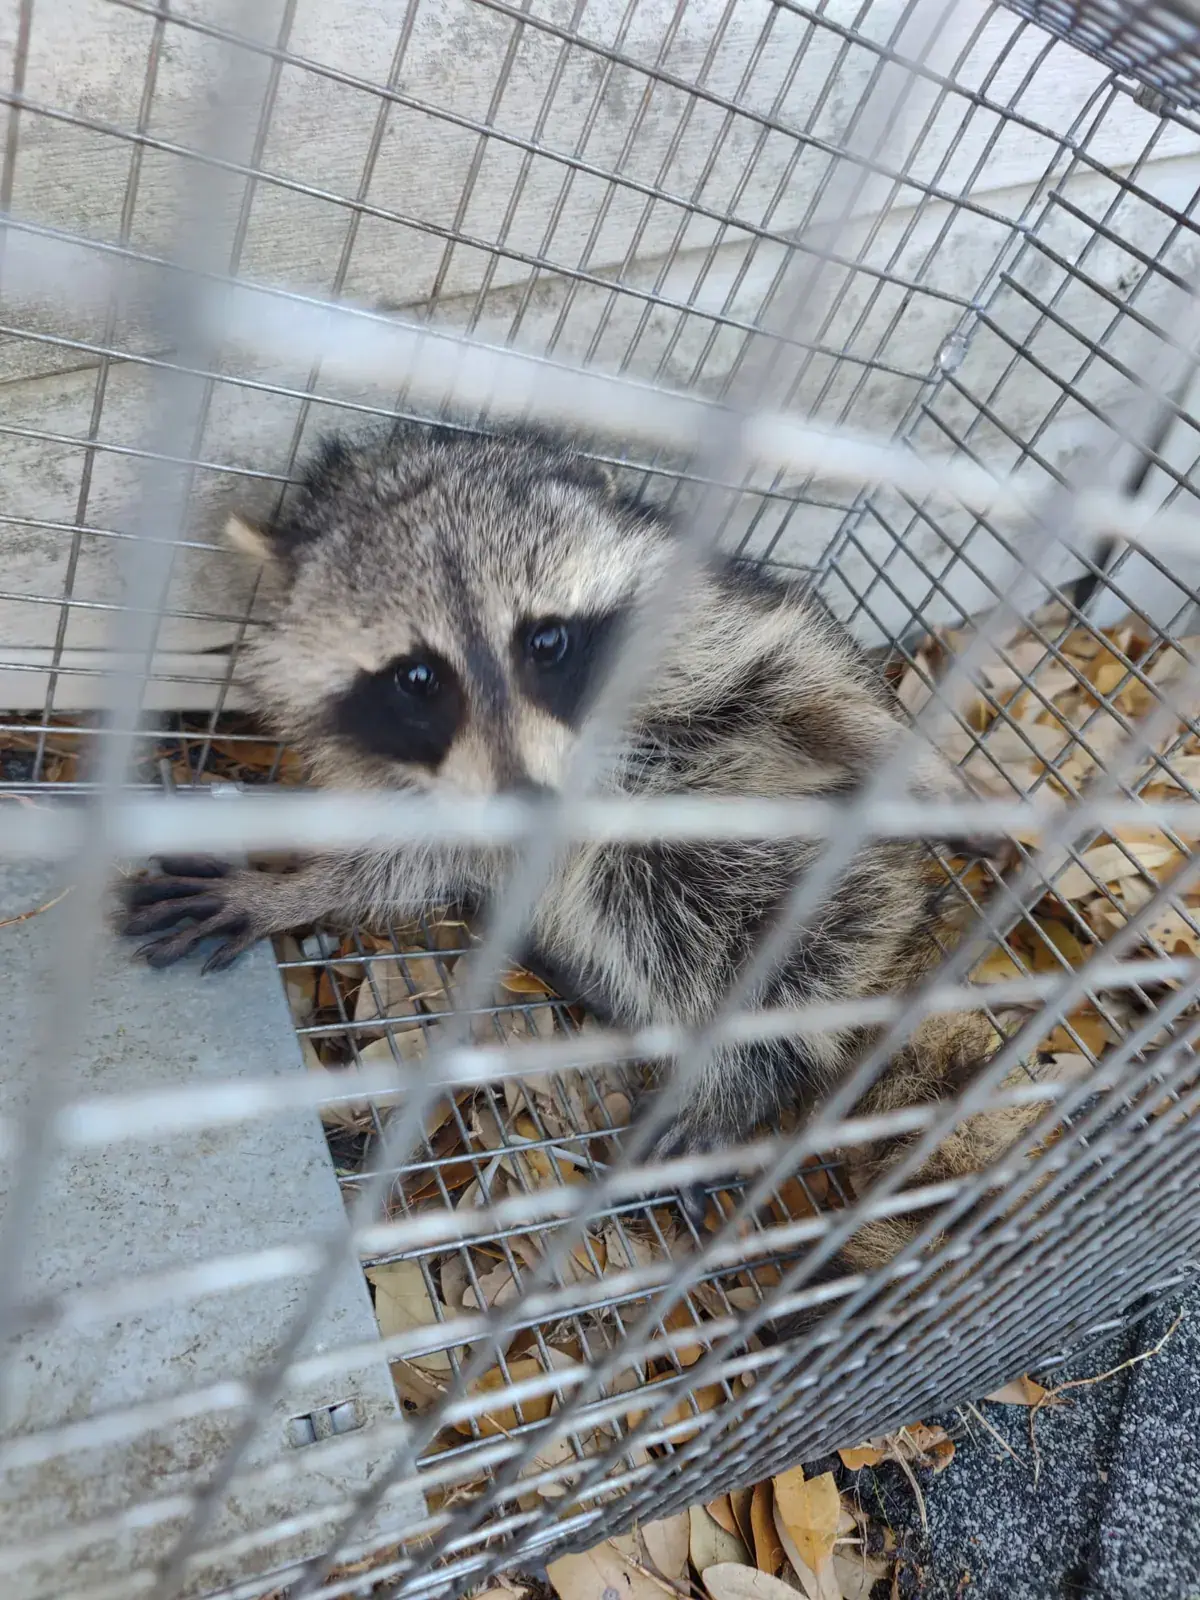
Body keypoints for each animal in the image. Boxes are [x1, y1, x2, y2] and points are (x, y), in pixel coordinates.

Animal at [124, 423, 1035, 1286]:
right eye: (417, 678)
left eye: (548, 641)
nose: (531, 803)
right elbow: (414, 855)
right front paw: (292, 889)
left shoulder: (708, 625)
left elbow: (804, 681)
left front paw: (916, 768)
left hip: (819, 869)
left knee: (737, 917)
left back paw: (746, 1066)